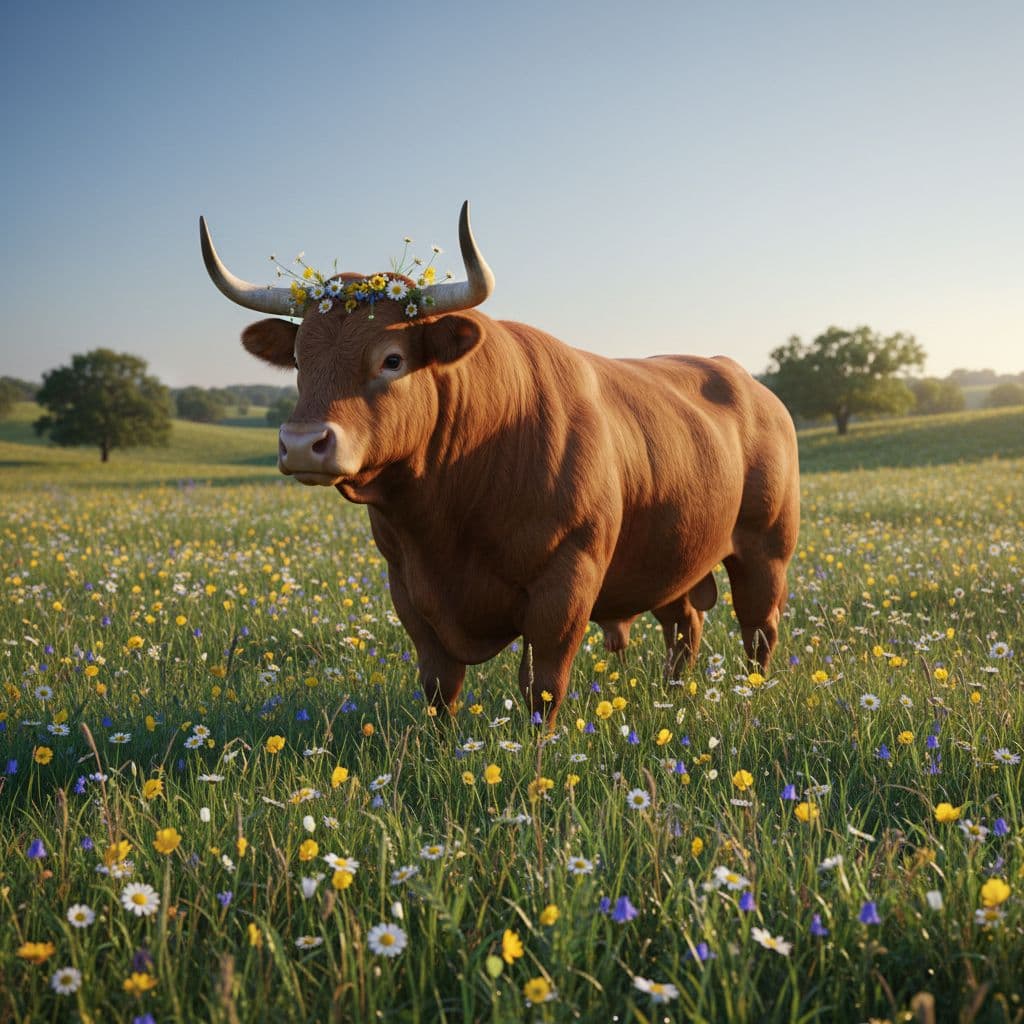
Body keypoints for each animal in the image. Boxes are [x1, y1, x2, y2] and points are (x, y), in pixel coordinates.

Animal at [200, 203, 800, 725]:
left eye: (392, 359)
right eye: (299, 360)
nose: (303, 443)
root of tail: (751, 384)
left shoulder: (566, 582)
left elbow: (542, 686)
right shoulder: (408, 586)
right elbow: (439, 684)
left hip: (766, 550)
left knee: (758, 631)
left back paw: (753, 695)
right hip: (672, 557)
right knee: (685, 628)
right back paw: (674, 698)